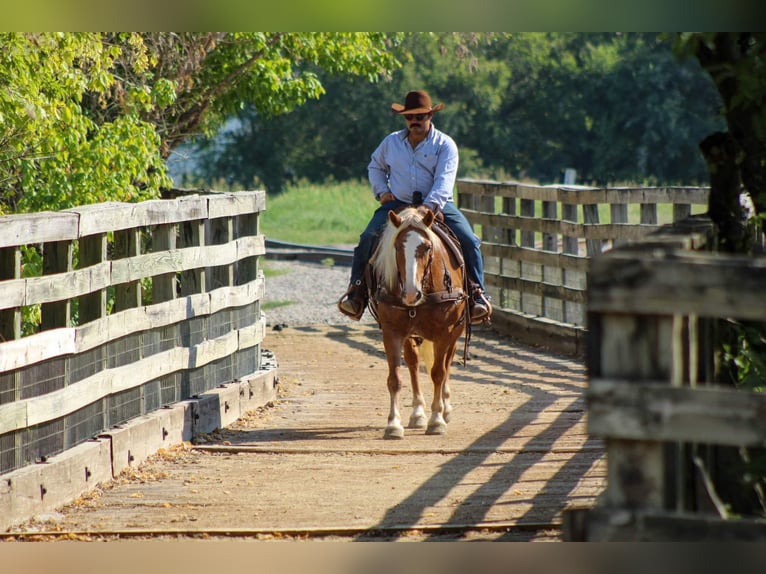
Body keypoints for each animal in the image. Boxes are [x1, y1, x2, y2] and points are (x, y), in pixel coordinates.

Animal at [368, 206, 468, 440]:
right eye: (397, 246)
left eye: (427, 247)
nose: (411, 294)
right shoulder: (392, 333)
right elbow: (395, 378)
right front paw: (393, 425)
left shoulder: (445, 332)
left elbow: (438, 373)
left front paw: (437, 420)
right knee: (413, 364)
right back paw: (418, 414)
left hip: (456, 332)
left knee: (447, 364)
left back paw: (445, 408)